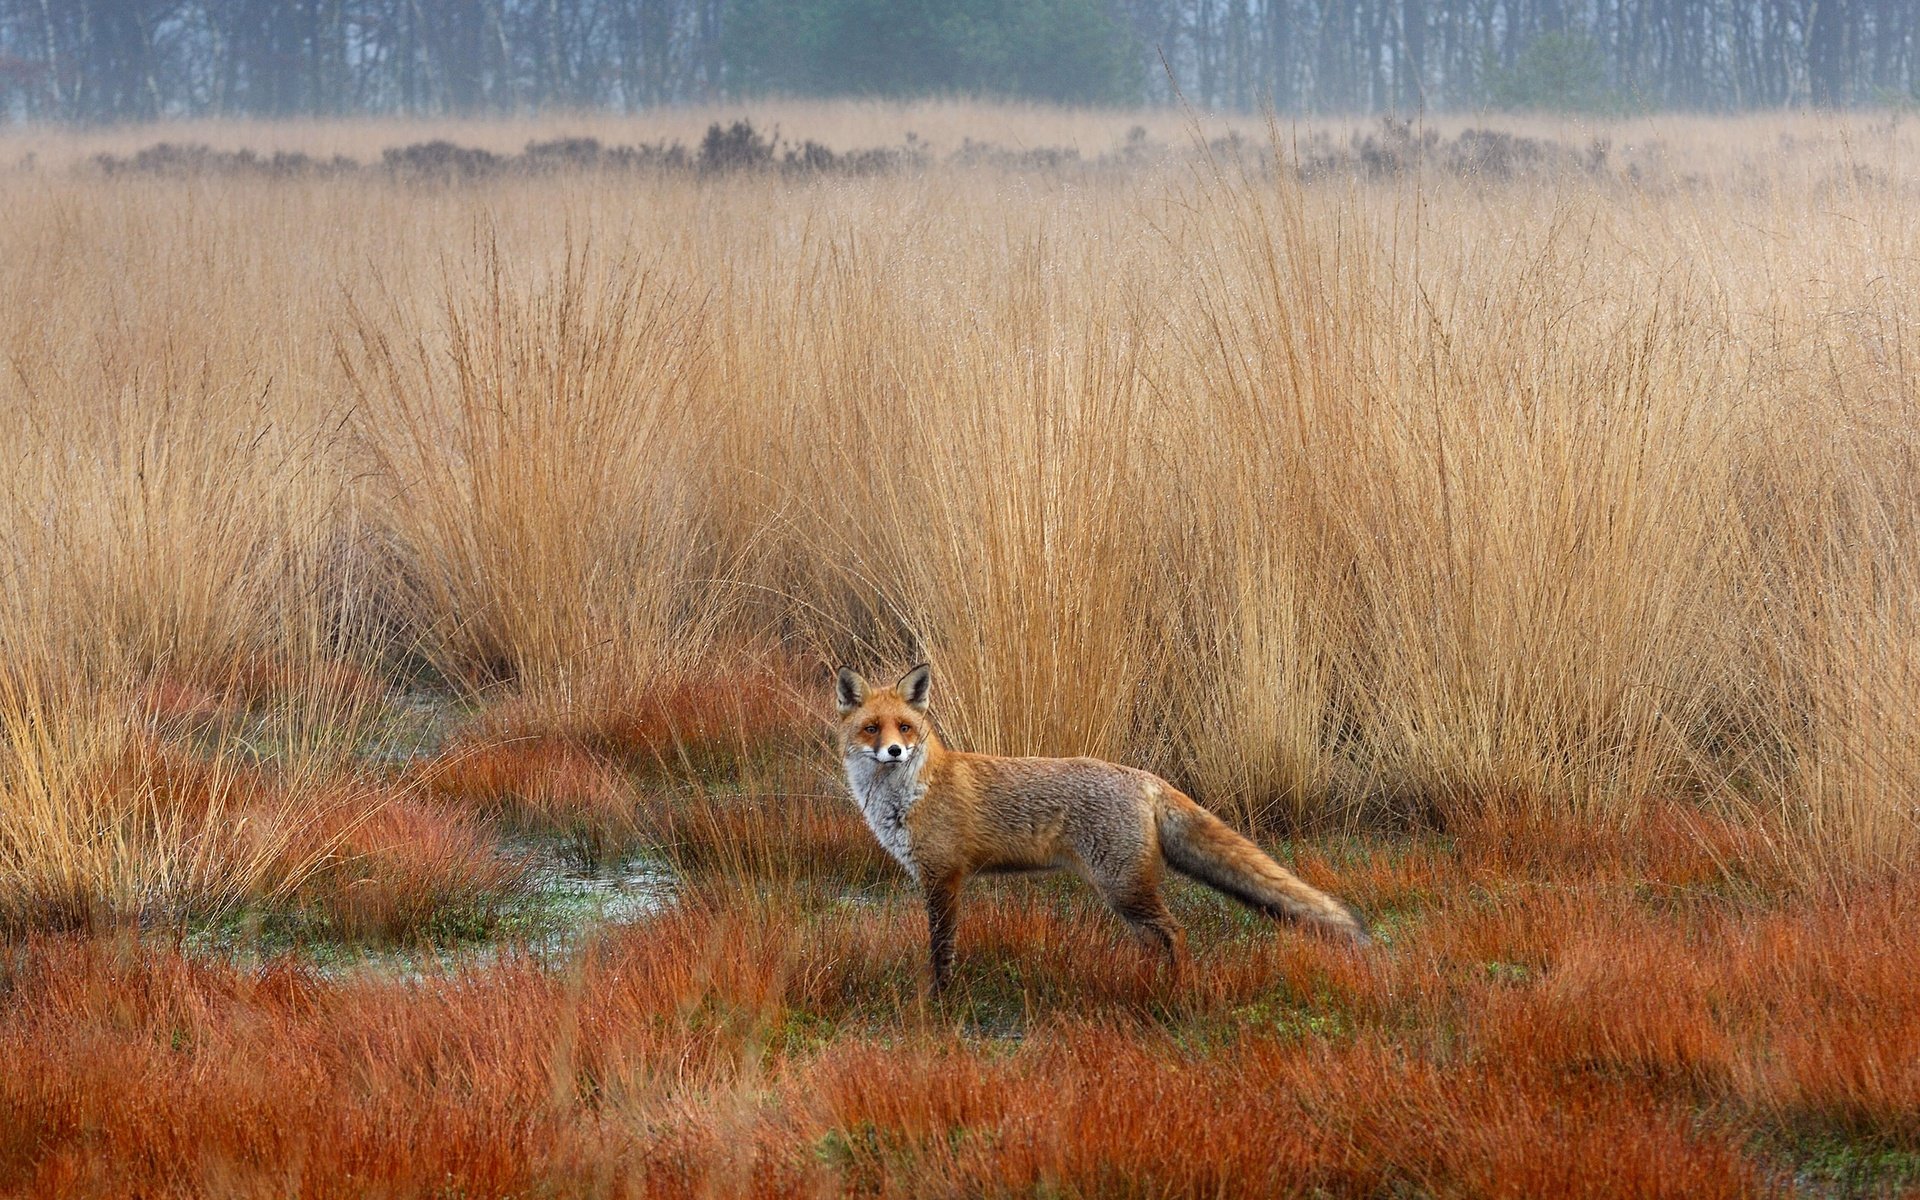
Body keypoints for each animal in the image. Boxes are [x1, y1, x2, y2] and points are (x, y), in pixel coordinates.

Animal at [837, 660, 1367, 990]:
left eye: (905, 728)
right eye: (872, 728)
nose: (894, 751)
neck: (907, 795)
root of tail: (1144, 776)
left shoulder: (944, 877)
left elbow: (941, 949)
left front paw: (940, 999)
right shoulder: (936, 877)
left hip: (1122, 887)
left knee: (1175, 933)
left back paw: (1176, 991)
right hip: (1125, 892)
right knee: (1154, 940)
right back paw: (1146, 985)